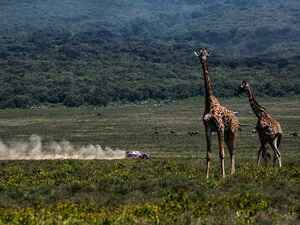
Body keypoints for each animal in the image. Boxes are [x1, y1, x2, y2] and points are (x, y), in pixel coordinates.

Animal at [193, 48, 240, 178]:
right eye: (200, 54)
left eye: (206, 54)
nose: (203, 60)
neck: (209, 103)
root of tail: (236, 118)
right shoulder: (208, 128)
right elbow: (208, 155)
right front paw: (206, 176)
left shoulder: (220, 127)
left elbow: (221, 153)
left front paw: (222, 175)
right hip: (227, 133)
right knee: (230, 150)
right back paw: (231, 172)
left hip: (232, 131)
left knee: (233, 150)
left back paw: (231, 173)